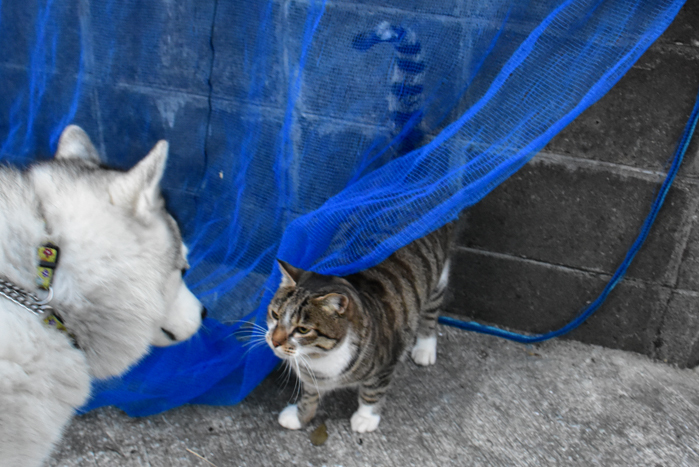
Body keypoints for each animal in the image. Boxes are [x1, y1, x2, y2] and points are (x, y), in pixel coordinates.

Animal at [266, 225, 454, 434]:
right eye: (275, 315)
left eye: (303, 330)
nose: (275, 340)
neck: (319, 359)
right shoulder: (312, 378)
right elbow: (309, 395)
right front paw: (300, 416)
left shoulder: (385, 363)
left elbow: (372, 391)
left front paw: (366, 418)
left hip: (439, 279)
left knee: (431, 312)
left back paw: (425, 348)